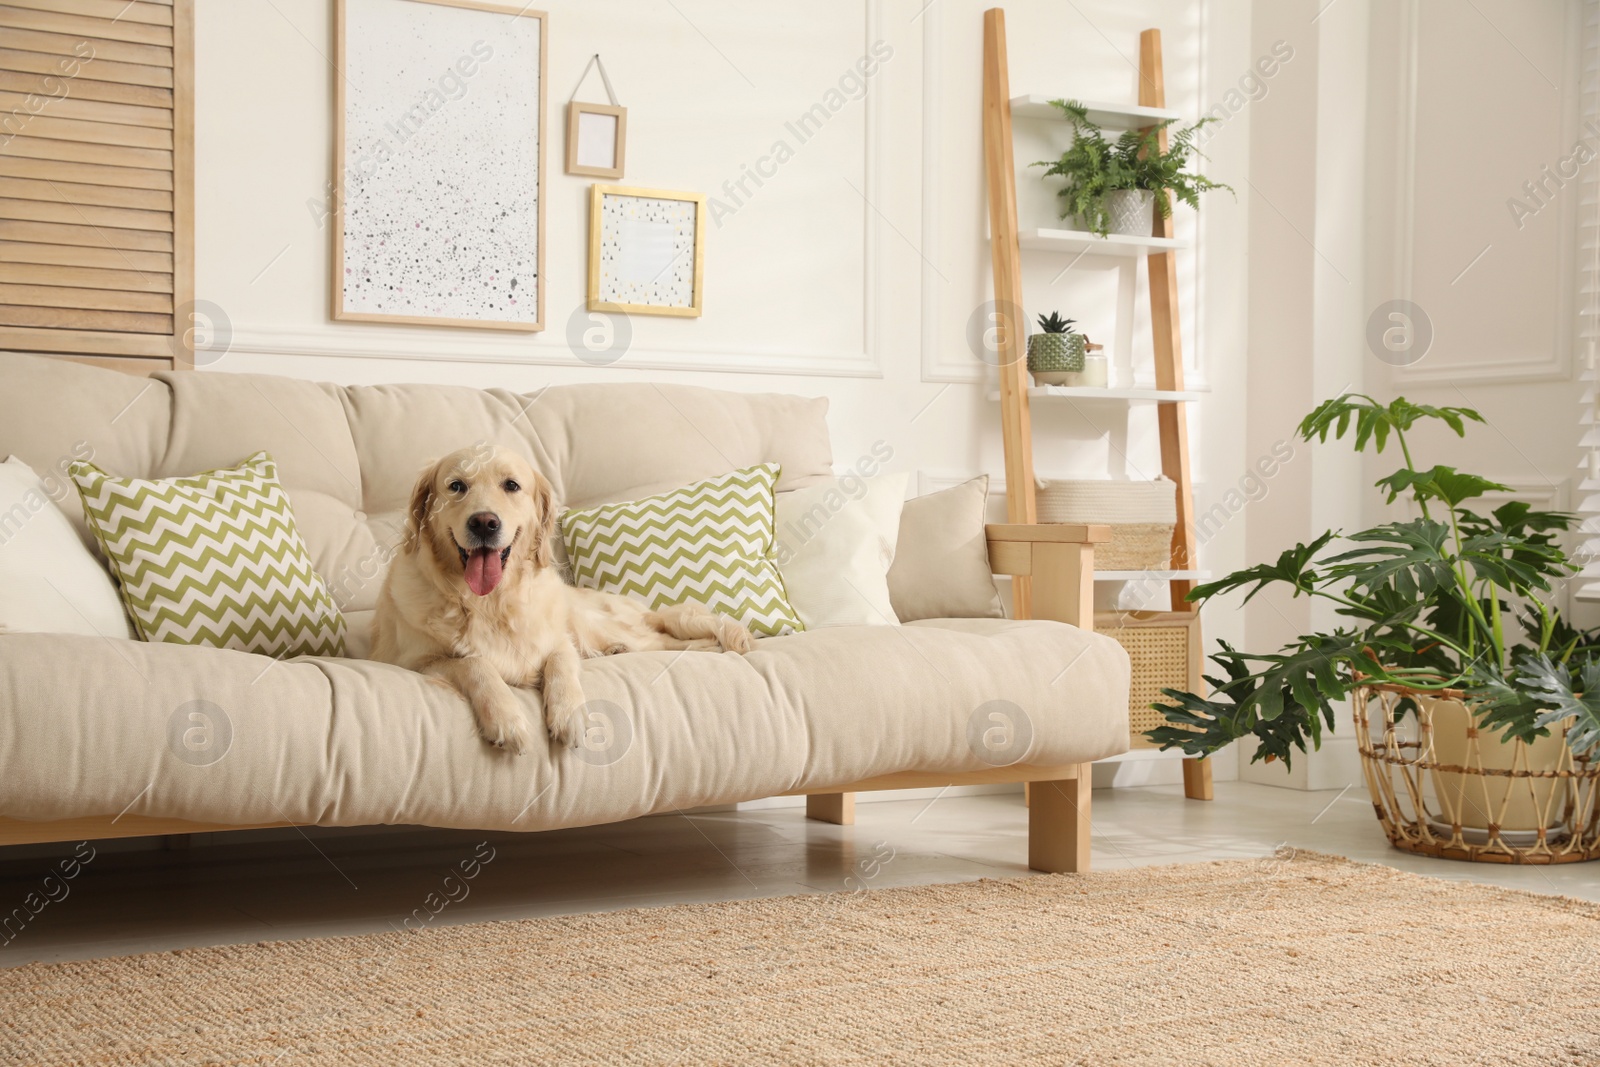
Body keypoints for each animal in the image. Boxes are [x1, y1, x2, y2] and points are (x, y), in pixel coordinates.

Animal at [371, 447, 752, 755]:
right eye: (456, 486)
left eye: (511, 485)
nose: (484, 522)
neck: (490, 603)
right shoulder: (416, 662)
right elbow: (475, 665)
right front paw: (507, 718)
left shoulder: (559, 641)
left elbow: (561, 665)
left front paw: (569, 715)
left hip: (605, 625)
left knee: (665, 635)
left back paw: (711, 645)